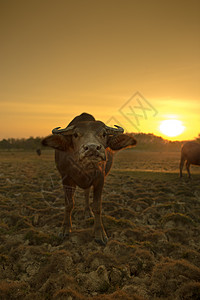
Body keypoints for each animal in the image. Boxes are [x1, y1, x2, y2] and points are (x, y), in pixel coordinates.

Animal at [41, 112, 137, 244]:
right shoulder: (66, 179)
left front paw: (99, 233)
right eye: (75, 134)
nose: (92, 148)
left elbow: (97, 206)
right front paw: (65, 229)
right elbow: (69, 204)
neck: (84, 167)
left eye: (104, 134)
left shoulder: (100, 179)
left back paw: (87, 212)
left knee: (86, 193)